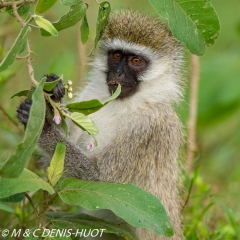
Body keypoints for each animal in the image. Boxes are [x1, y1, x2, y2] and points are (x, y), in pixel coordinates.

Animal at [17, 9, 185, 240]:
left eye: (136, 61)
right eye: (116, 56)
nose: (118, 74)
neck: (126, 103)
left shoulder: (150, 127)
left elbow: (101, 177)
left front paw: (43, 125)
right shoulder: (91, 98)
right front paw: (54, 94)